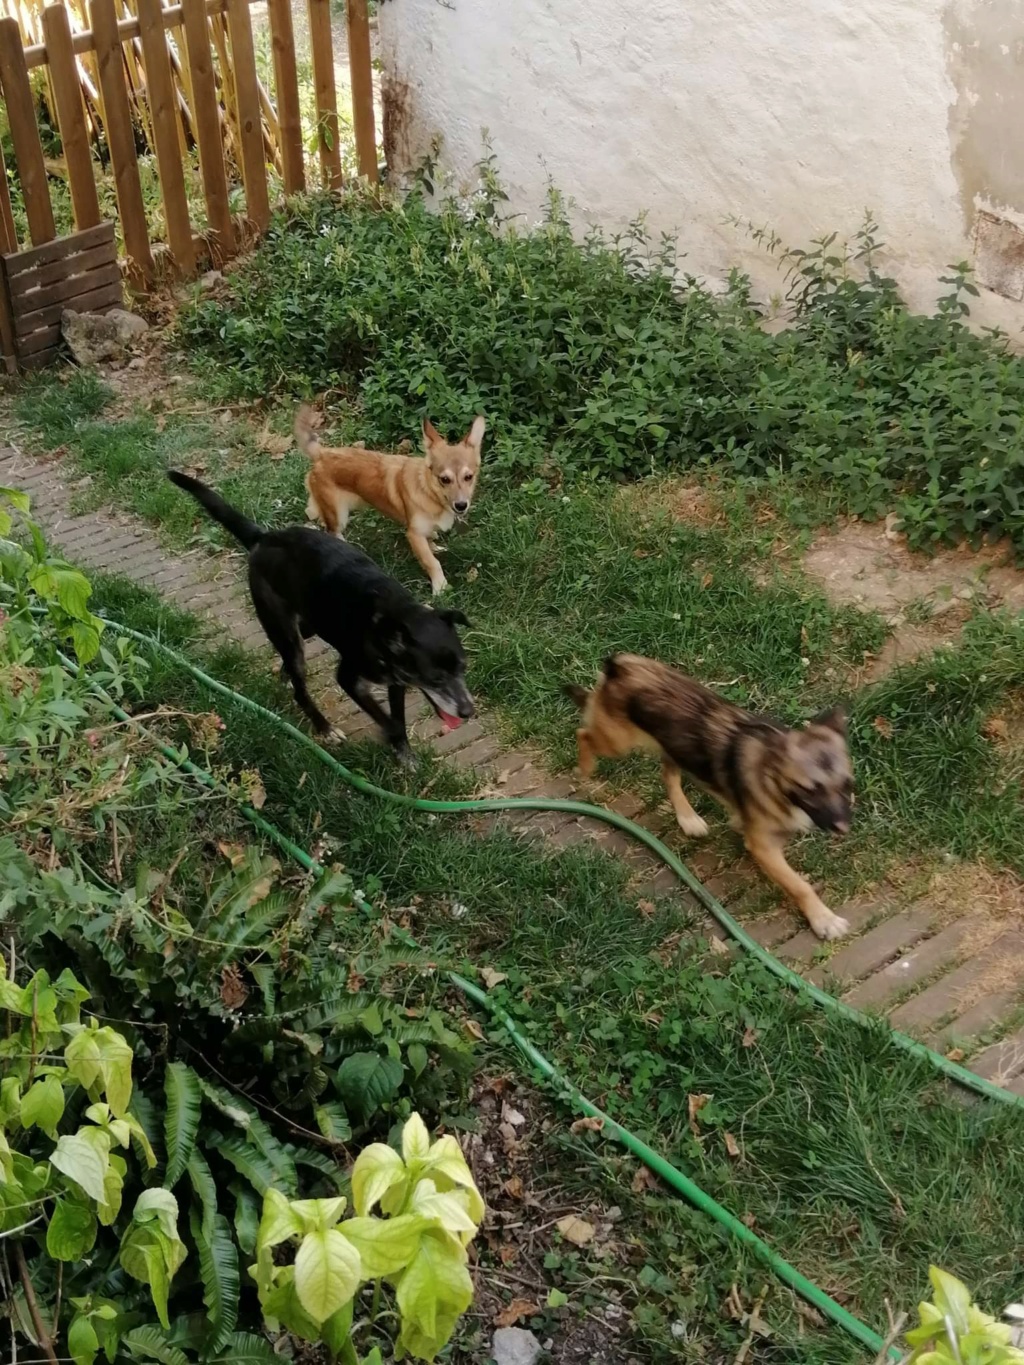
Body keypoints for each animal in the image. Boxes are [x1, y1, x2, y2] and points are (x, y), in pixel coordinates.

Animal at [167, 472, 472, 764]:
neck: (388, 619)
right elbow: (391, 722)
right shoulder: (349, 679)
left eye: (463, 668)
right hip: (285, 630)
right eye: (435, 679)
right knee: (300, 689)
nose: (468, 711)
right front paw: (393, 741)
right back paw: (323, 727)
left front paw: (404, 753)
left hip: (308, 623)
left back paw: (285, 674)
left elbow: (398, 717)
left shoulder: (397, 682)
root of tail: (265, 538)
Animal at [570, 657, 857, 939]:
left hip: (671, 745)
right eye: (811, 790)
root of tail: (620, 664)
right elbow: (799, 885)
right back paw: (585, 767)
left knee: (668, 776)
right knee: (583, 733)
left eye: (847, 785)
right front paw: (823, 919)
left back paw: (687, 818)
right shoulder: (763, 847)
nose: (843, 829)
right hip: (617, 741)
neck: (771, 775)